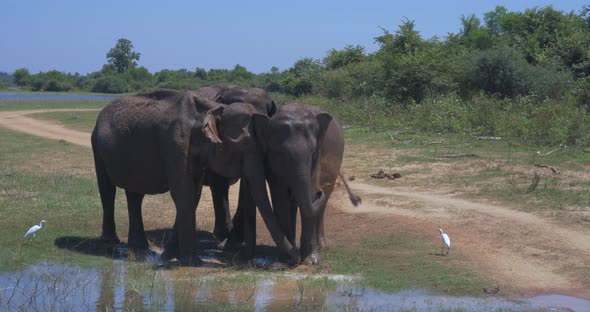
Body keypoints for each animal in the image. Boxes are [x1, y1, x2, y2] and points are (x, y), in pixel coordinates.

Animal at [92, 89, 298, 264]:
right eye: (242, 145)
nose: (296, 259)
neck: (211, 109)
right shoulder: (175, 142)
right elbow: (183, 192)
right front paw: (190, 261)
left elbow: (194, 193)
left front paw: (169, 255)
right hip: (97, 145)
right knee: (107, 189)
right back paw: (111, 242)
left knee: (135, 193)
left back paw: (140, 247)